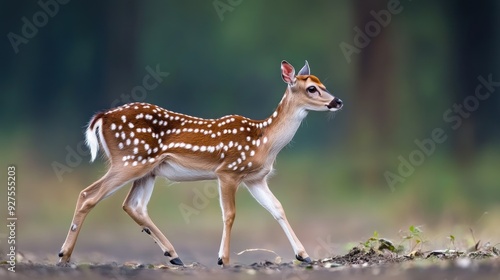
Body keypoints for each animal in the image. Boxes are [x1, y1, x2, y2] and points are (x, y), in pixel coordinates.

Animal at [56, 60, 342, 266]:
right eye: (311, 88)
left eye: (322, 83)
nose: (337, 101)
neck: (264, 141)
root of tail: (102, 117)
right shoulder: (228, 171)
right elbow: (229, 214)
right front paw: (223, 259)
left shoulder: (255, 178)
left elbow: (278, 208)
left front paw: (304, 255)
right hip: (129, 160)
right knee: (88, 194)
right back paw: (64, 255)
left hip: (148, 169)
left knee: (133, 206)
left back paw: (174, 256)